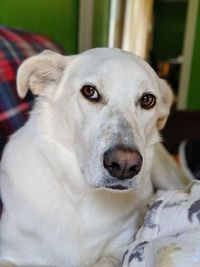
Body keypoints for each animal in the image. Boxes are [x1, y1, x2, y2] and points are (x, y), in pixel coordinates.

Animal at [0, 48, 172, 267]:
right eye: (90, 91)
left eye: (147, 100)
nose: (124, 165)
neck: (83, 197)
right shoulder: (9, 253)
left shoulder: (121, 248)